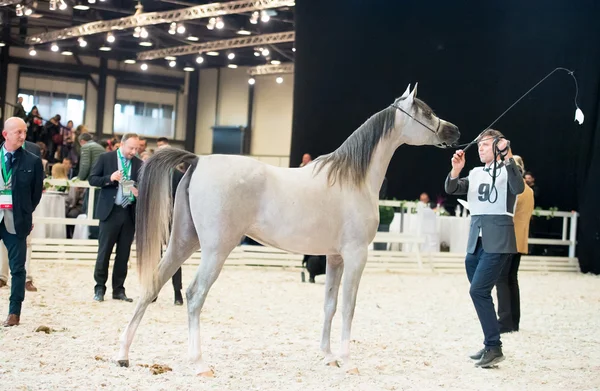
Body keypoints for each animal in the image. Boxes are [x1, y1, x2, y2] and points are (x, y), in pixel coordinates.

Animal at [115, 85, 460, 376]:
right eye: (427, 112)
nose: (455, 131)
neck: (352, 179)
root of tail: (197, 160)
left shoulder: (334, 257)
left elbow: (330, 305)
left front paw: (328, 356)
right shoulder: (356, 255)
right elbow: (348, 307)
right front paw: (348, 362)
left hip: (182, 242)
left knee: (151, 285)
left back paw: (124, 355)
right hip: (215, 250)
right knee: (194, 294)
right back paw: (199, 364)